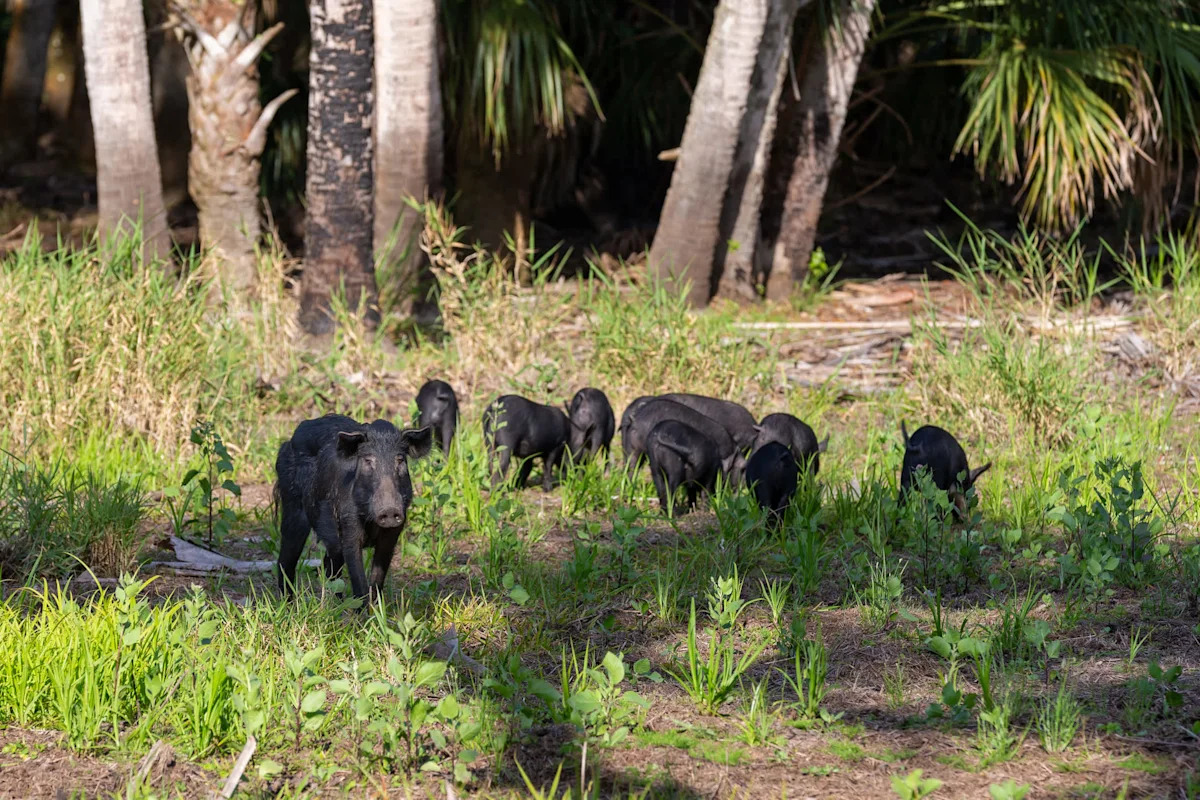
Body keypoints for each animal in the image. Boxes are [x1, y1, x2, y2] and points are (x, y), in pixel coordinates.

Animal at [275, 414, 432, 602]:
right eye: (368, 461)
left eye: (400, 460)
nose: (389, 509)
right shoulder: (349, 526)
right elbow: (359, 582)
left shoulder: (393, 534)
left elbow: (377, 580)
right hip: (292, 506)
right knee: (285, 561)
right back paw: (288, 602)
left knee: (330, 565)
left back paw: (337, 602)